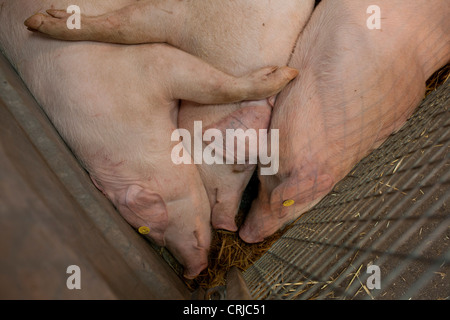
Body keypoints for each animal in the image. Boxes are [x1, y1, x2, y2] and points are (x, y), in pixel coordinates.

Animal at [3, 0, 300, 278]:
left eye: (246, 169)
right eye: (152, 234)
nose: (192, 272)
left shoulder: (156, 61)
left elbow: (123, 28)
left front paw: (287, 74)